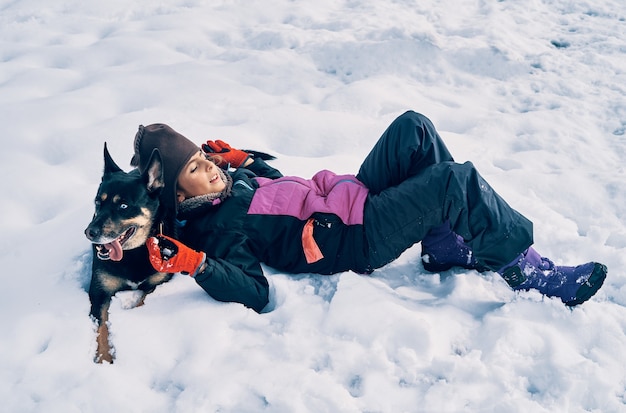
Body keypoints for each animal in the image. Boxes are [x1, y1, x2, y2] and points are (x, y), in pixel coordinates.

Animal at [83, 143, 173, 362]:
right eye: (98, 202)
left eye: (123, 205)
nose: (90, 232)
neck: (133, 254)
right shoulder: (99, 292)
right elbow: (102, 327)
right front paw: (104, 358)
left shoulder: (160, 281)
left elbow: (142, 300)